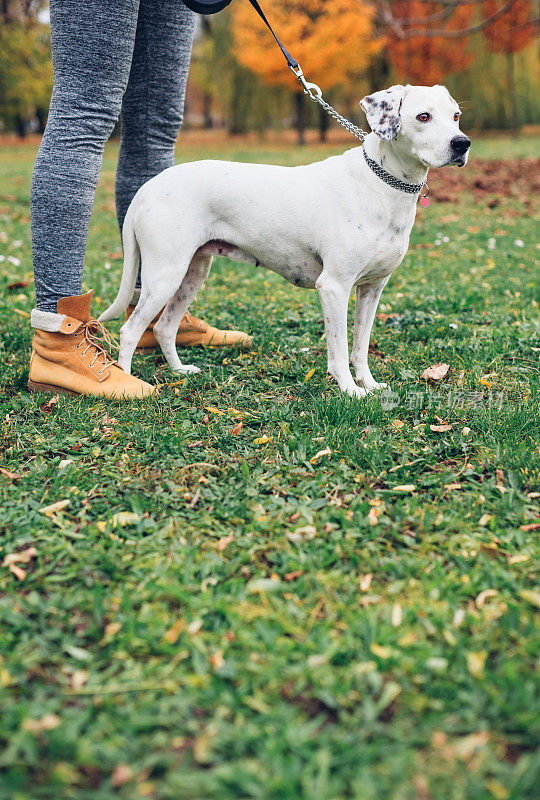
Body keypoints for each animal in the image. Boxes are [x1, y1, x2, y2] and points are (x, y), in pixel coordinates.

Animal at [100, 84, 468, 396]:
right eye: (423, 117)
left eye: (455, 116)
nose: (462, 144)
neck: (382, 186)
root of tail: (148, 186)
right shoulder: (334, 287)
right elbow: (339, 351)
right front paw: (350, 391)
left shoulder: (372, 288)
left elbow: (360, 348)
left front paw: (370, 384)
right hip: (165, 275)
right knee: (130, 331)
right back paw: (128, 383)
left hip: (192, 274)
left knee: (164, 327)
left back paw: (179, 371)